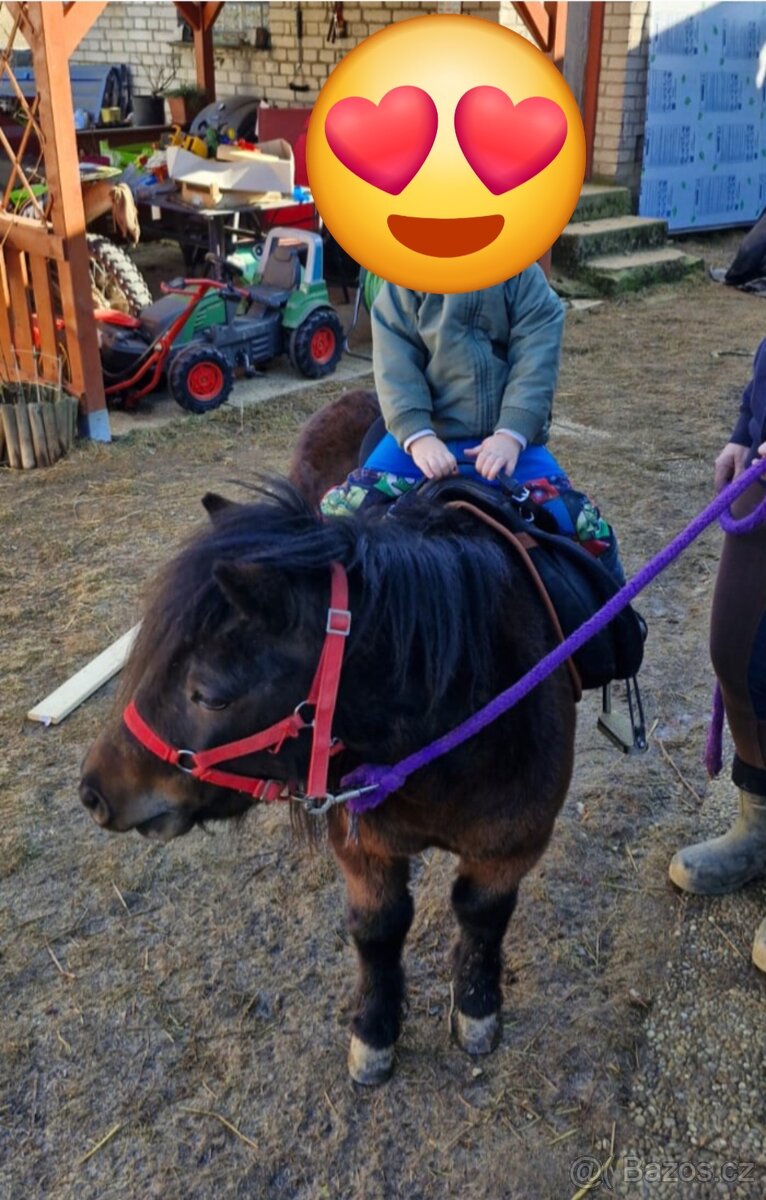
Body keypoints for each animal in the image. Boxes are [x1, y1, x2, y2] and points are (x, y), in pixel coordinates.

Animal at [80, 400, 578, 1087]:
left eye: (209, 695)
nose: (93, 791)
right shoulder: (361, 841)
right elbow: (378, 929)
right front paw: (374, 1032)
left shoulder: (513, 842)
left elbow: (481, 914)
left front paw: (476, 1010)